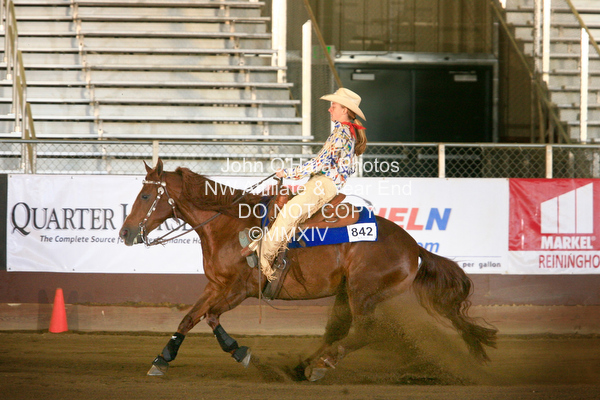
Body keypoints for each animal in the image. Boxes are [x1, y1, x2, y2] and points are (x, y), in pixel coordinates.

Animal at [119, 158, 497, 381]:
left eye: (144, 196)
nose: (124, 233)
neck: (229, 225)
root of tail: (413, 247)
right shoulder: (215, 285)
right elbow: (188, 318)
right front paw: (162, 359)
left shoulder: (240, 289)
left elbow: (211, 318)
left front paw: (241, 352)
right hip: (347, 293)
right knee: (338, 331)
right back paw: (304, 366)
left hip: (363, 293)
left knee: (363, 332)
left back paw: (320, 366)